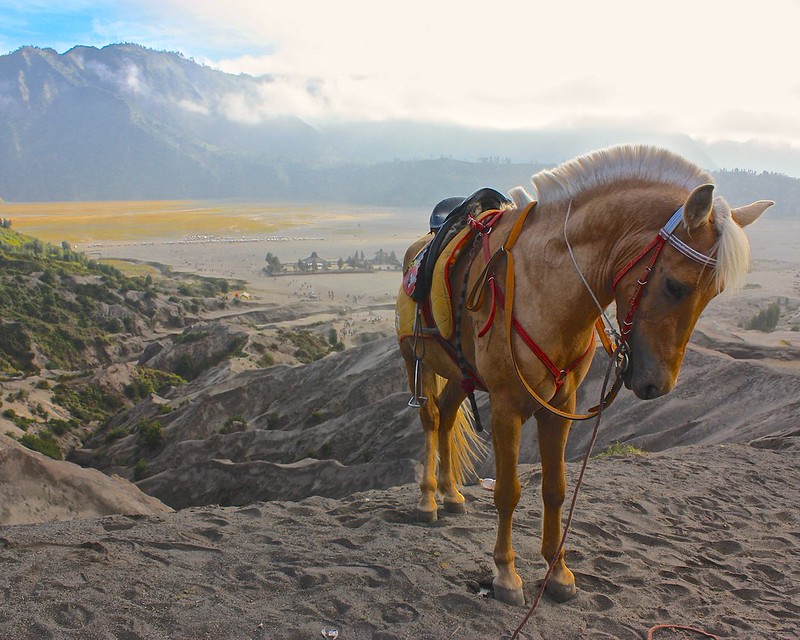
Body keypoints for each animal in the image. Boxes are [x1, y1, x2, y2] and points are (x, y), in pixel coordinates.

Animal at [395, 144, 772, 607]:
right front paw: (506, 575)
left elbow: (555, 489)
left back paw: (451, 494)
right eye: (674, 285)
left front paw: (558, 573)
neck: (546, 286)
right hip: (416, 359)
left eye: (713, 293)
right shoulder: (506, 406)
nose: (657, 384)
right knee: (431, 419)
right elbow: (508, 492)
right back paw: (429, 500)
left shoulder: (562, 404)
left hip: (458, 371)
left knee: (448, 415)